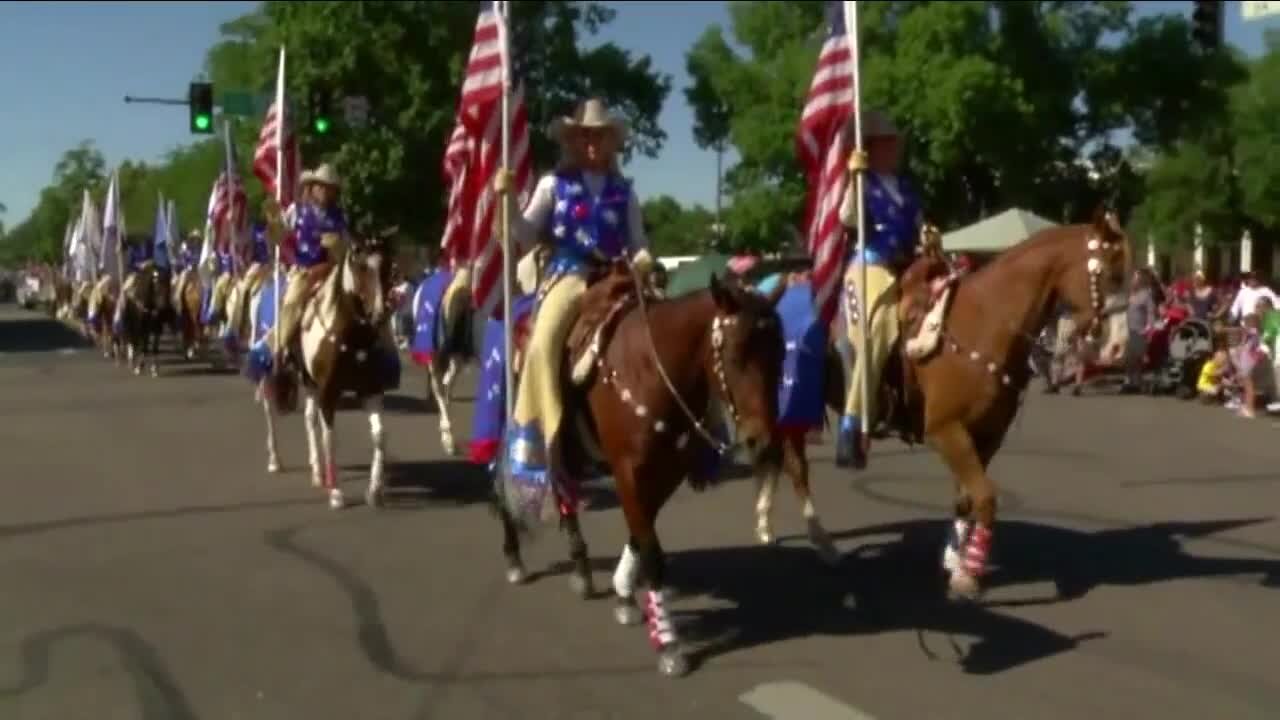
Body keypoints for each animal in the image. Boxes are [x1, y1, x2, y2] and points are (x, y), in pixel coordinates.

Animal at [241, 228, 396, 504]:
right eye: (361, 266)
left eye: (388, 265)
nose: (380, 314)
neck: (352, 336)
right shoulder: (328, 391)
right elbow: (330, 437)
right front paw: (335, 492)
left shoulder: (370, 390)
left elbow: (379, 435)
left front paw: (374, 489)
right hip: (273, 369)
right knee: (271, 409)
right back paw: (276, 460)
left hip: (310, 380)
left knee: (309, 418)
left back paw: (317, 471)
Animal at [494, 262, 783, 671]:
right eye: (736, 354)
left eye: (782, 355)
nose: (763, 442)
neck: (650, 368)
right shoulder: (627, 469)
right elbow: (652, 551)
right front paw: (668, 642)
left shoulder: (669, 469)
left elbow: (640, 531)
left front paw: (625, 594)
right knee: (502, 481)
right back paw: (515, 557)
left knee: (565, 490)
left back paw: (581, 568)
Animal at [880, 206, 1131, 594]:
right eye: (1111, 274)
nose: (1118, 346)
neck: (984, 324)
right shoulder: (946, 431)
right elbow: (985, 498)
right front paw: (968, 573)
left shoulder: (986, 435)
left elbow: (967, 498)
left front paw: (956, 560)